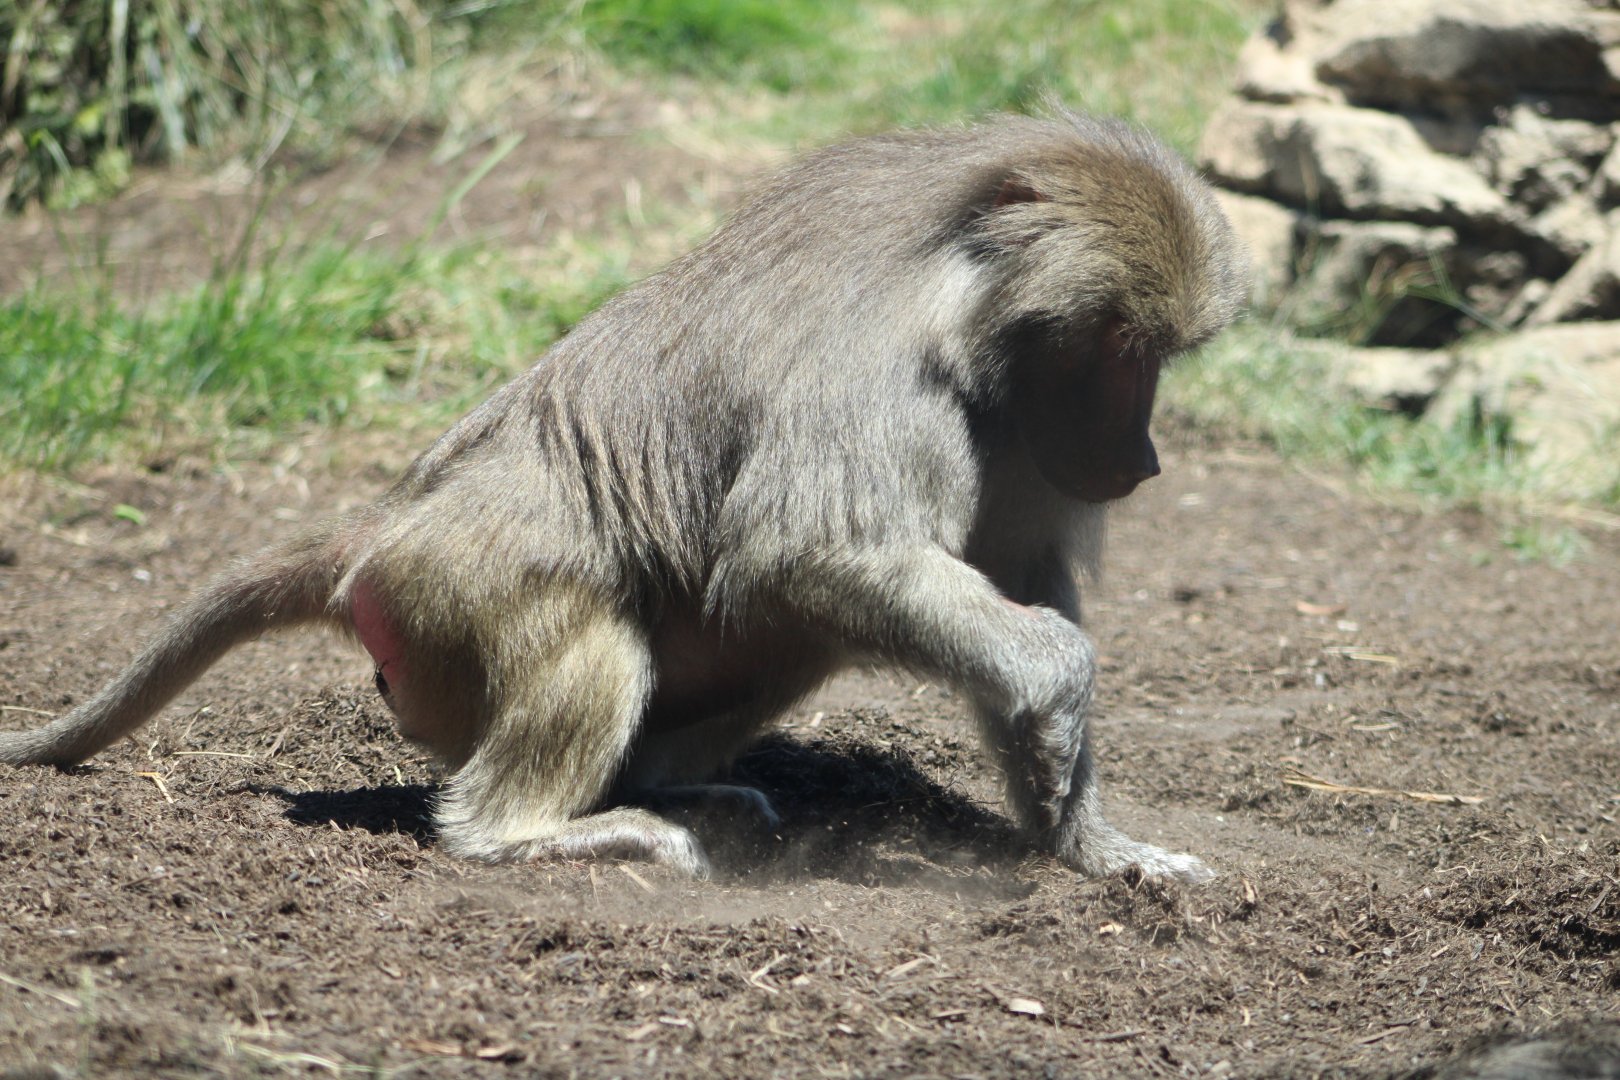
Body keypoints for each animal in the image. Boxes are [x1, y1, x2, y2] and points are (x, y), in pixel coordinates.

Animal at [0, 112, 1246, 882]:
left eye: (1153, 356)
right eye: (1121, 345)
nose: (1142, 462)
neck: (959, 304)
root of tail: (387, 530)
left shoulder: (1021, 439)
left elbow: (1010, 588)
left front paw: (1092, 842)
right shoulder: (872, 380)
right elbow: (811, 557)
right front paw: (1061, 685)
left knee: (779, 641)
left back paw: (678, 797)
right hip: (453, 595)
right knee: (603, 638)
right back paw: (551, 837)